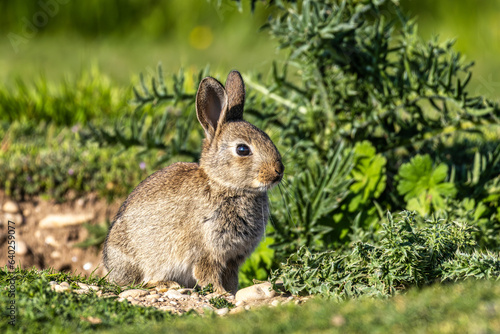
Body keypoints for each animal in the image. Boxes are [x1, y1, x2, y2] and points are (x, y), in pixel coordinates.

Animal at [102, 70, 282, 292]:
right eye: (242, 149)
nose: (279, 171)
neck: (225, 185)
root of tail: (109, 265)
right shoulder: (207, 250)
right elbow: (208, 274)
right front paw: (221, 293)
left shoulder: (233, 258)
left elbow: (230, 277)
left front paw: (232, 292)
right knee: (143, 280)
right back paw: (167, 283)